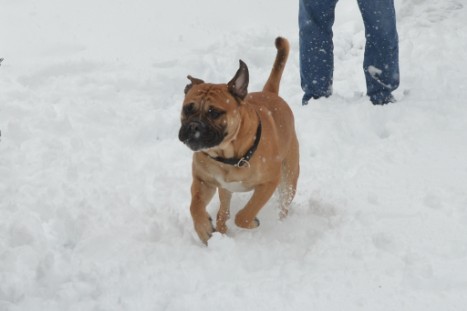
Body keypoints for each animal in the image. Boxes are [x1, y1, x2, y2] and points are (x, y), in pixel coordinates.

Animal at [179, 37, 300, 245]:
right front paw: (203, 229)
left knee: (283, 204)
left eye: (214, 112)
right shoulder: (204, 181)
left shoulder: (269, 183)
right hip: (225, 190)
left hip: (288, 178)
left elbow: (244, 214)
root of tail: (271, 93)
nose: (194, 126)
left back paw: (280, 221)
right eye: (188, 108)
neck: (226, 154)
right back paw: (220, 230)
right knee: (223, 212)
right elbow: (195, 206)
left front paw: (252, 222)